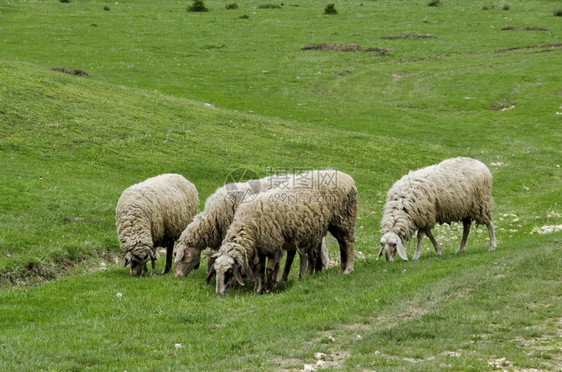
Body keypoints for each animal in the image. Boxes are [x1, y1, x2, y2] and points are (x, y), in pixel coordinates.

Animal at [206, 169, 354, 296]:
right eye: (216, 271)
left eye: (229, 272)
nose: (219, 293)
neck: (248, 223)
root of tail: (347, 177)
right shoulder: (261, 248)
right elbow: (260, 269)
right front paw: (259, 289)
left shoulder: (272, 244)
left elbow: (269, 269)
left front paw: (269, 289)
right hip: (329, 225)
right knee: (338, 245)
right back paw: (335, 270)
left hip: (344, 218)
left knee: (348, 243)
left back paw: (348, 270)